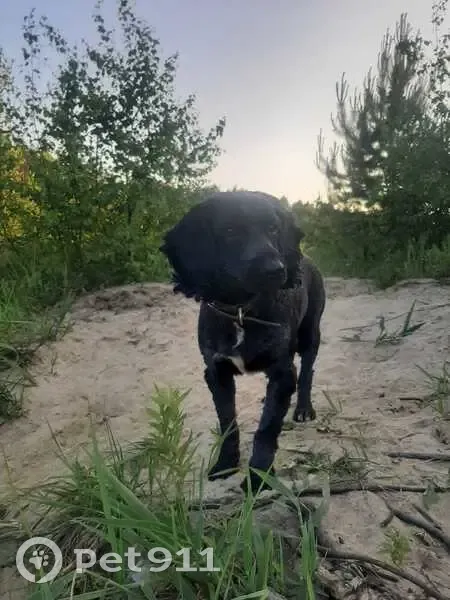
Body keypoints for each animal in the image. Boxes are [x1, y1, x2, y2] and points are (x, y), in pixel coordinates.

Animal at [159, 190, 325, 494]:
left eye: (273, 228)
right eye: (229, 231)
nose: (276, 270)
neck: (241, 311)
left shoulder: (282, 370)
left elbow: (266, 428)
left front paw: (259, 477)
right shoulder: (217, 372)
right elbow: (228, 423)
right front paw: (225, 464)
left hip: (311, 334)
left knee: (307, 371)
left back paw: (303, 408)